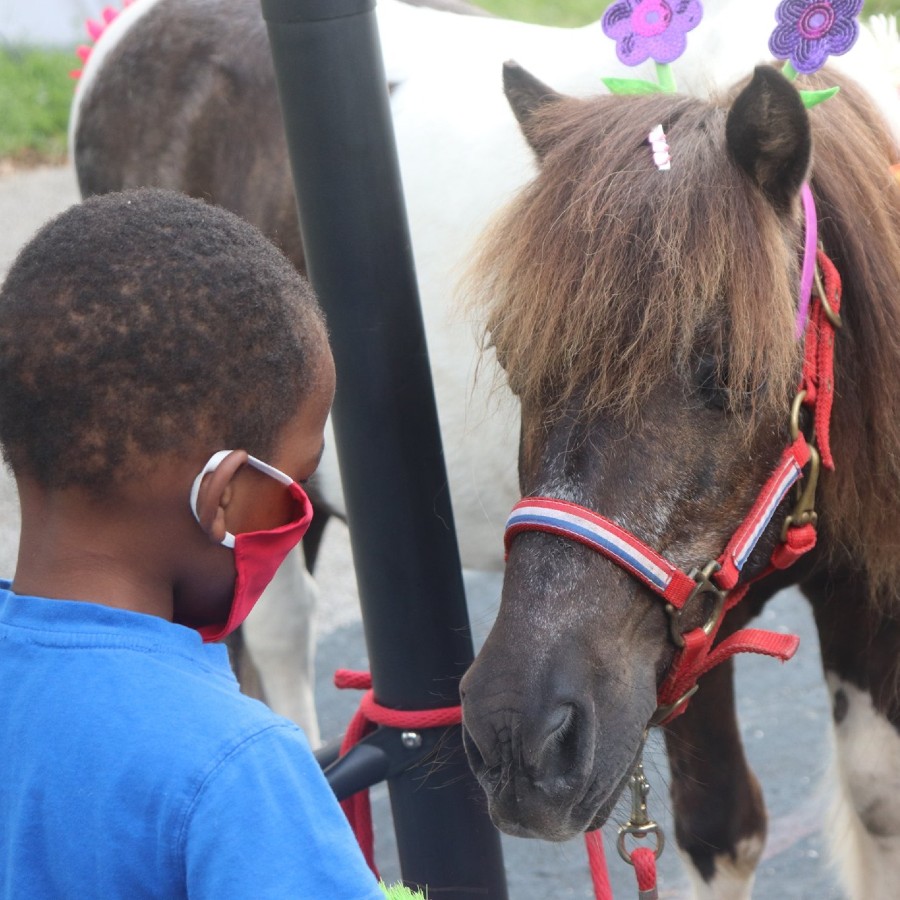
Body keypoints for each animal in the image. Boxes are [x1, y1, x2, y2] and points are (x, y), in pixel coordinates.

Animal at [460, 65, 900, 900]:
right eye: (508, 354)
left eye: (726, 371)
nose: (516, 733)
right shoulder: (681, 642)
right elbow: (718, 827)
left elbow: (879, 803)